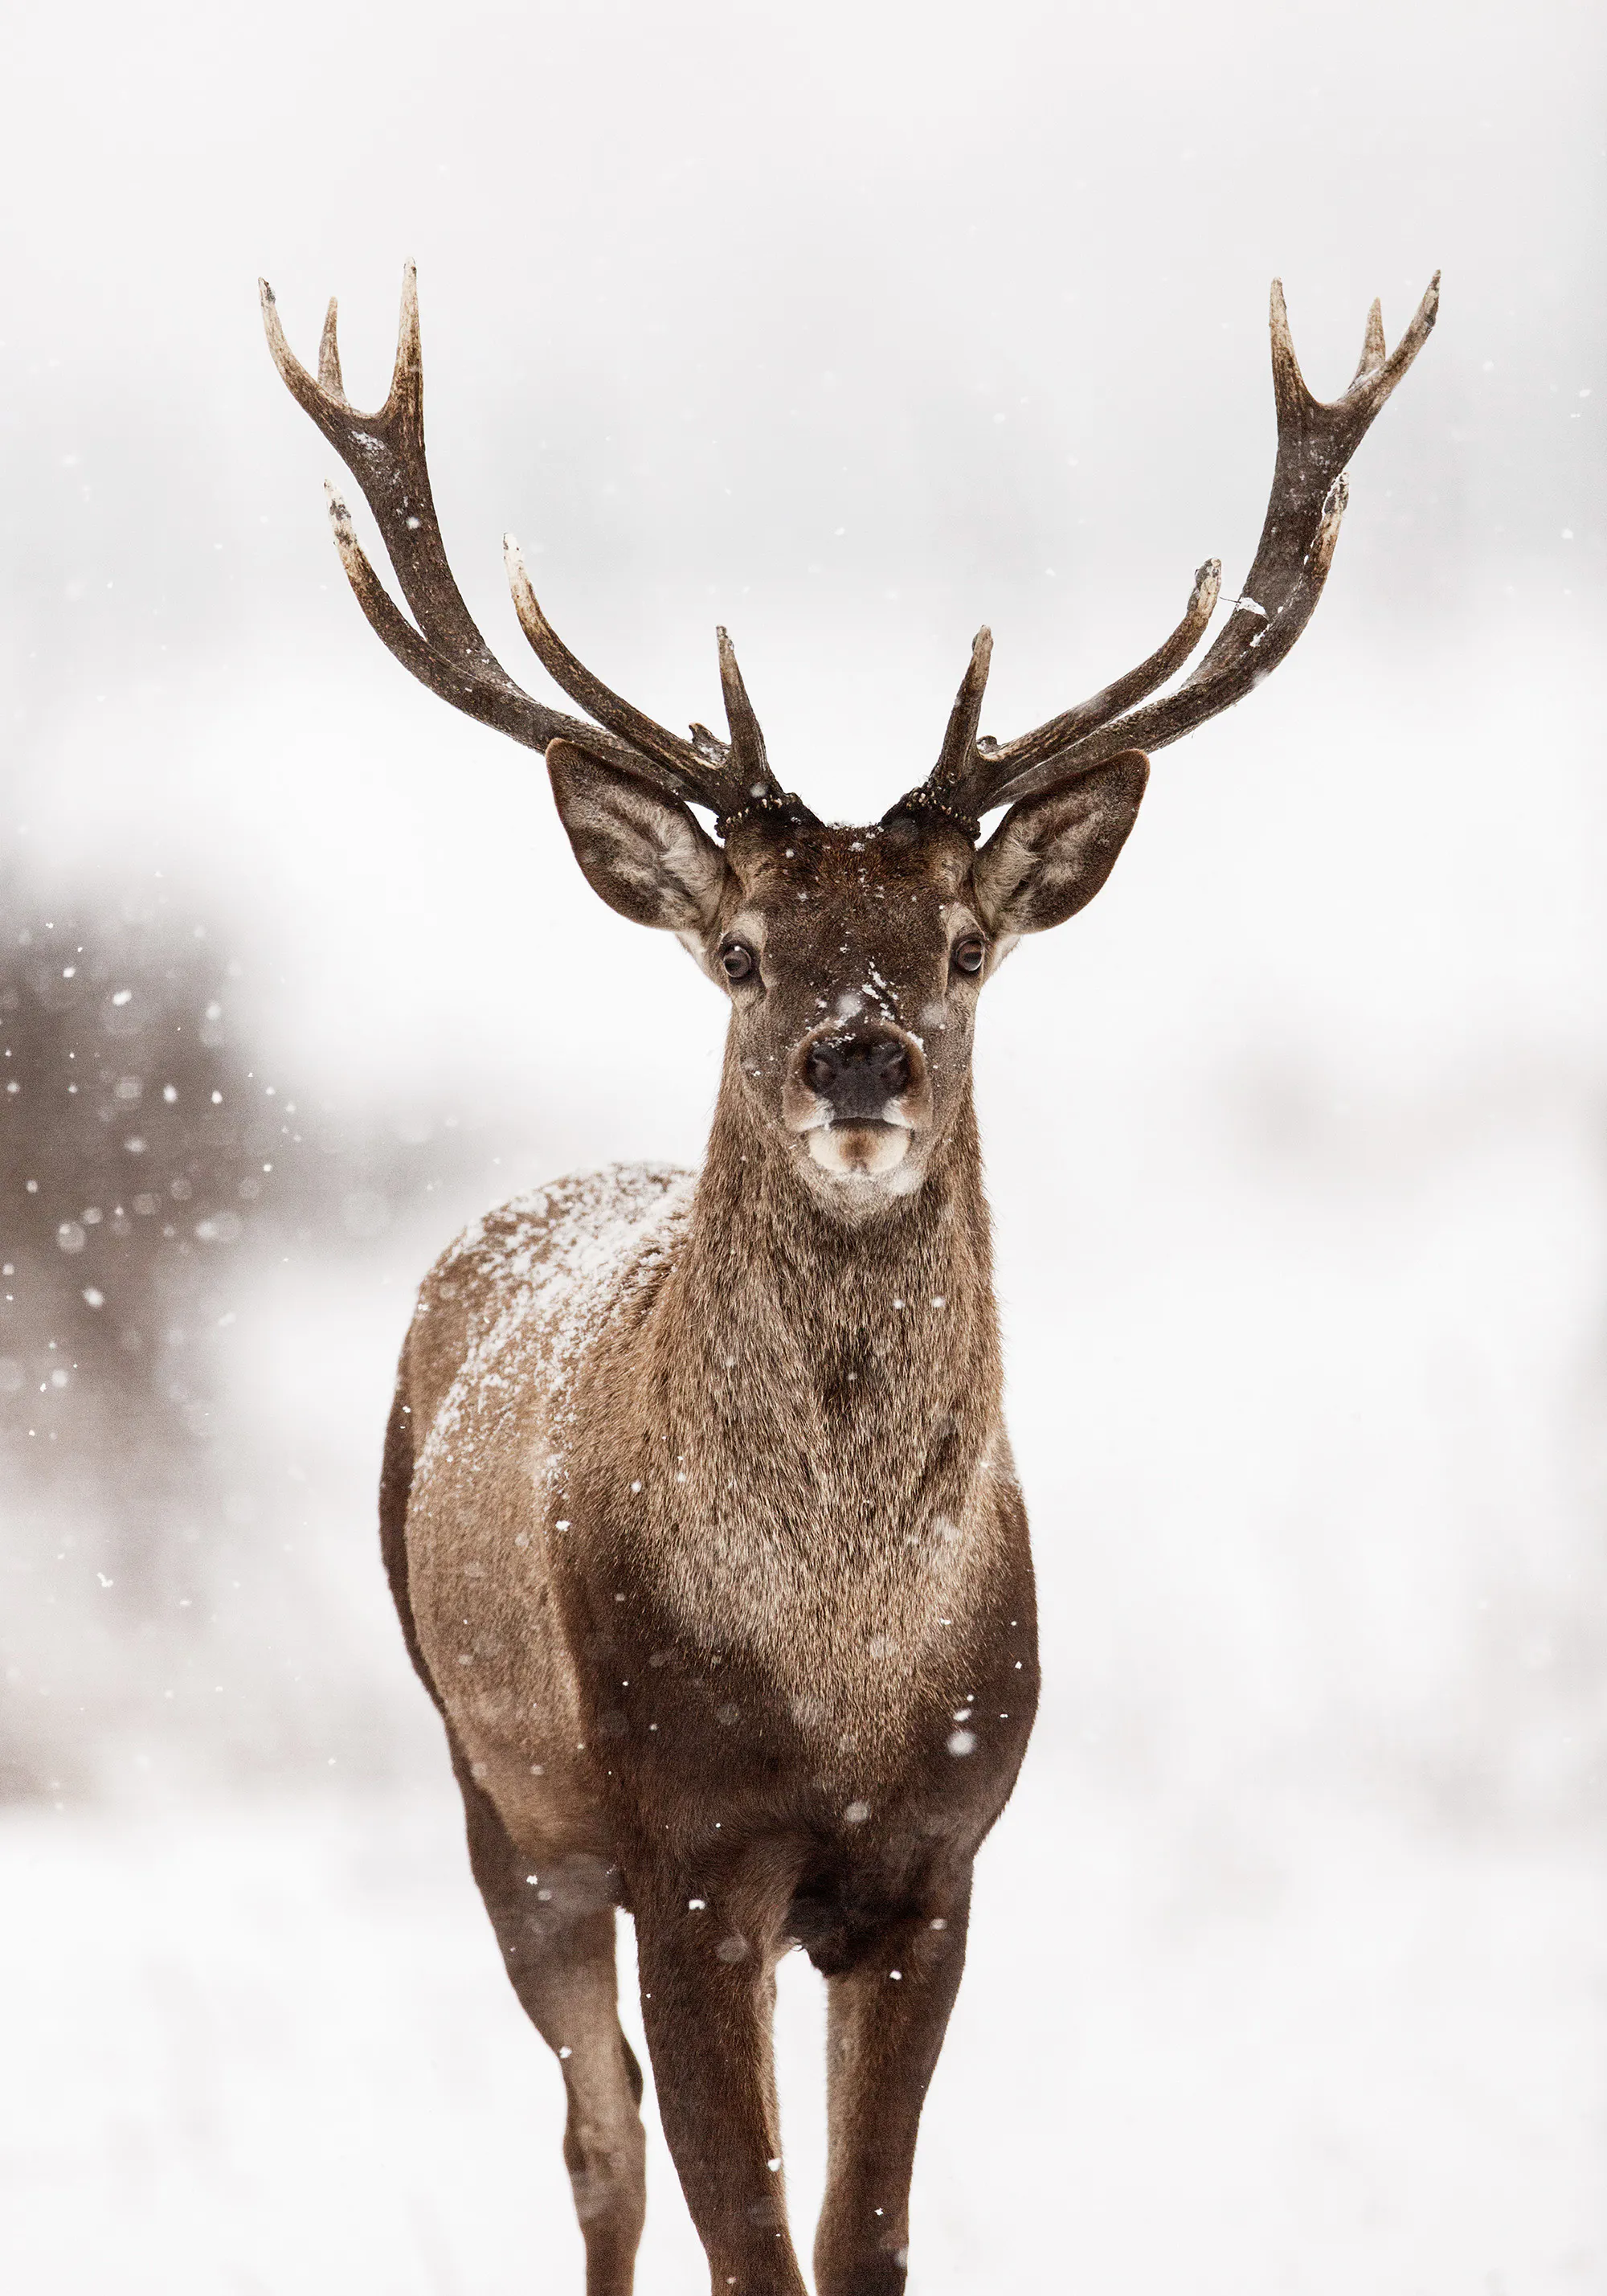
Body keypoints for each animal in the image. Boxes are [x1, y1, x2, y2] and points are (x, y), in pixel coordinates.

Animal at [262, 263, 1437, 2296]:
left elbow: (861, 2234)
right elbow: (749, 2240)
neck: (835, 1665)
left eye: (961, 945)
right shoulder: (681, 1844)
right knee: (597, 2149)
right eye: (741, 950)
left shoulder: (935, 1855)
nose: (859, 1056)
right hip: (496, 1789)